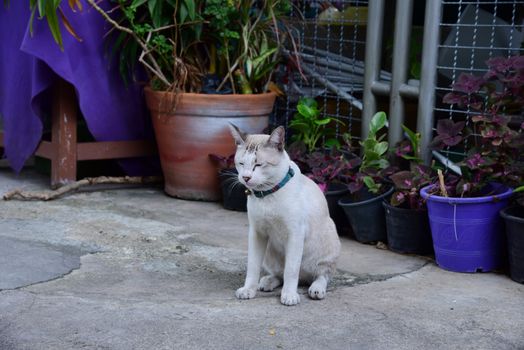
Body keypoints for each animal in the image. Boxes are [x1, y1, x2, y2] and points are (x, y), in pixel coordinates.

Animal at [229, 124, 340, 304]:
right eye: (241, 163)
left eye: (258, 165)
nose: (245, 177)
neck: (266, 194)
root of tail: (304, 279)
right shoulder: (257, 233)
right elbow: (253, 266)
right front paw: (248, 290)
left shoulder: (295, 234)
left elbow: (291, 270)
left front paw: (289, 295)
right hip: (269, 252)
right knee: (278, 274)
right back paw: (266, 282)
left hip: (328, 240)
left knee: (321, 275)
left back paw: (316, 289)